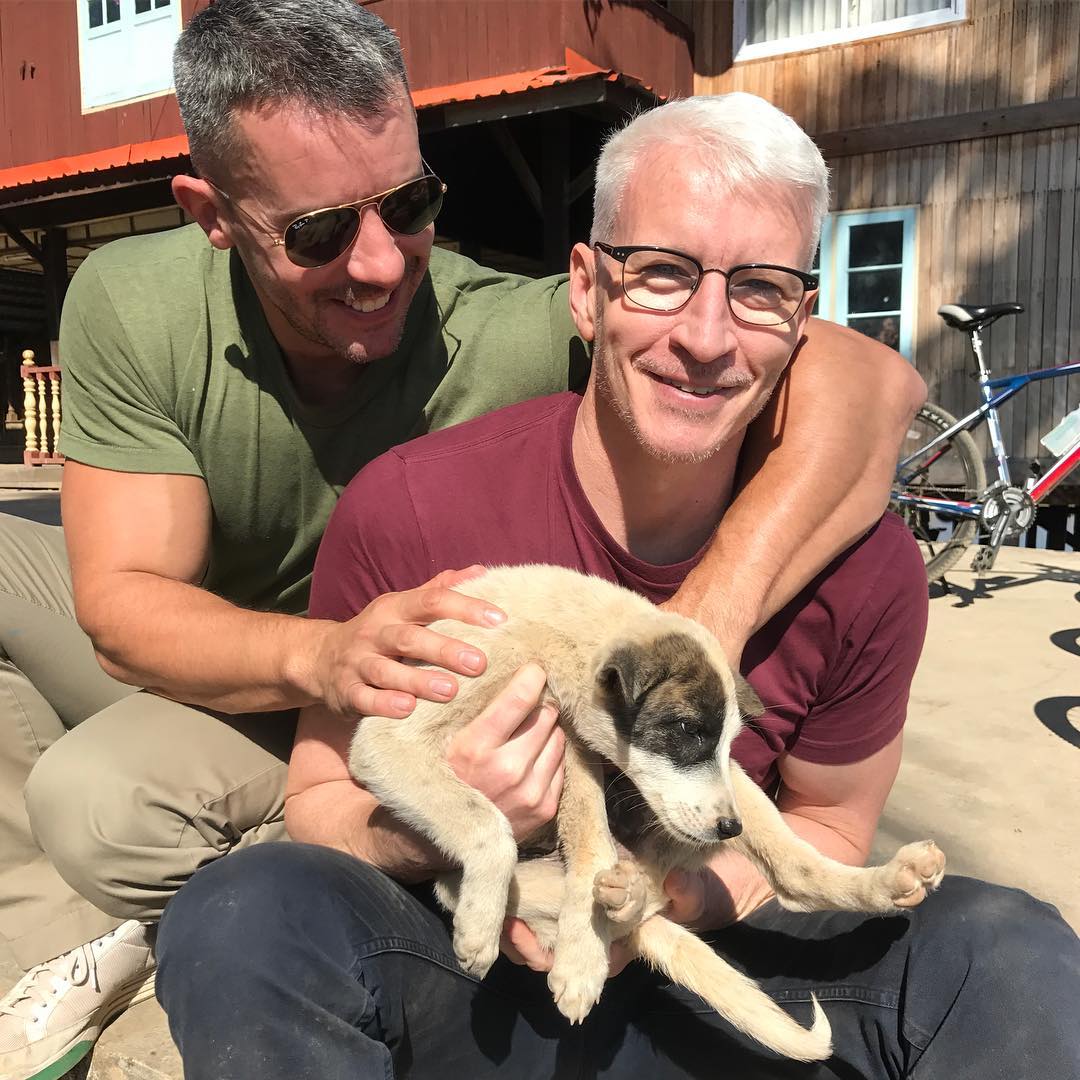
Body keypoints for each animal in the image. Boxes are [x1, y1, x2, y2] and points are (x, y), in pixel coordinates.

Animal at [347, 565, 946, 1062]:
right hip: (464, 881)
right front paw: (483, 933)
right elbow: (492, 823)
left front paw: (580, 957)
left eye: (726, 740)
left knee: (788, 875)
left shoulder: (573, 741)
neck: (553, 630)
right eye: (685, 730)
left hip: (737, 796)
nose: (729, 830)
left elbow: (584, 838)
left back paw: (892, 879)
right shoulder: (391, 740)